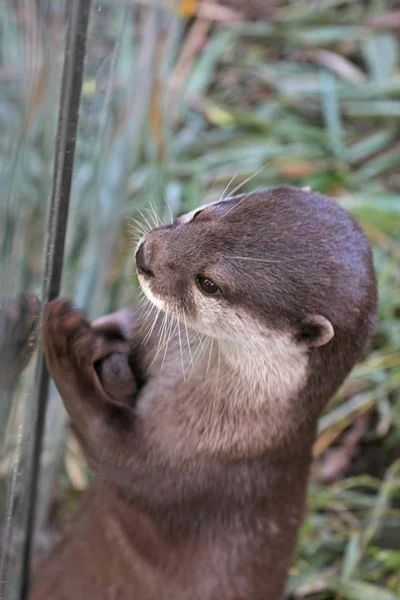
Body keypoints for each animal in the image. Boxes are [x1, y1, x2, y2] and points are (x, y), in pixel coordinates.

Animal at [1, 185, 376, 596]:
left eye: (208, 284)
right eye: (201, 215)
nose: (144, 255)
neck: (233, 421)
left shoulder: (197, 463)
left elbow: (111, 449)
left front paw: (64, 342)